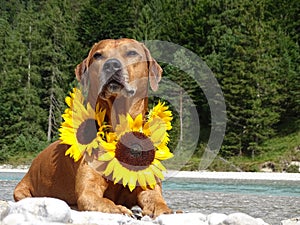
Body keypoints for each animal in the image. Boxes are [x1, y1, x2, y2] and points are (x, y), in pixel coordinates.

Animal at [14, 38, 172, 218]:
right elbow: (98, 198)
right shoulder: (88, 191)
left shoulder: (148, 183)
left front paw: (165, 210)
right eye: (98, 55)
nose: (111, 65)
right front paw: (117, 208)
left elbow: (156, 200)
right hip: (22, 190)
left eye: (132, 53)